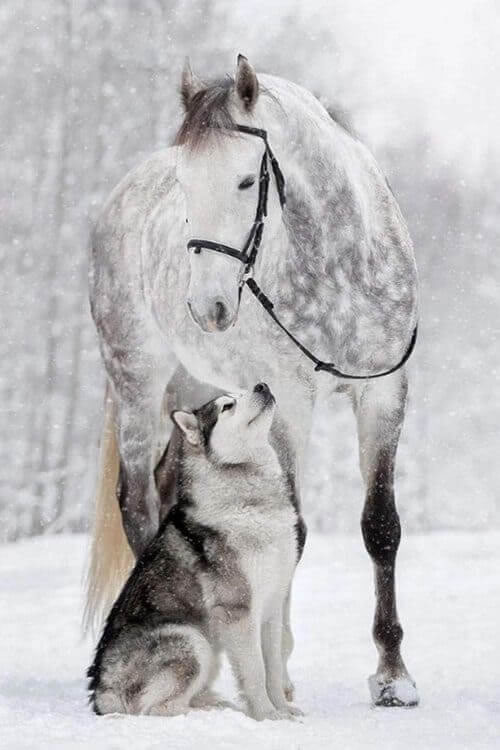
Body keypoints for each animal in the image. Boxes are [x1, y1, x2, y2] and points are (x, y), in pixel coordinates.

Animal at [87, 384, 304, 720]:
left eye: (243, 390)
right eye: (227, 406)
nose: (262, 385)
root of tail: (101, 693)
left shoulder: (272, 605)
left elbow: (273, 667)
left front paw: (283, 711)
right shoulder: (238, 610)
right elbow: (255, 671)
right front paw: (267, 716)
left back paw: (213, 703)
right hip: (192, 638)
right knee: (156, 709)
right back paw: (208, 712)